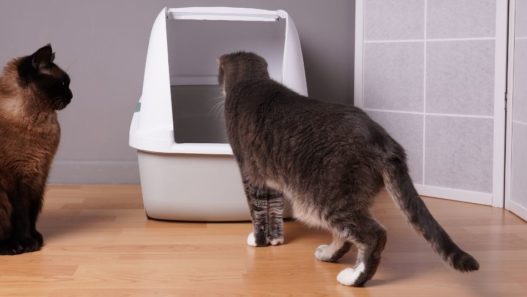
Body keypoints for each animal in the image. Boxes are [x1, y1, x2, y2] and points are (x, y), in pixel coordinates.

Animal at [0, 44, 72, 254]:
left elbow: (32, 214)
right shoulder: (20, 177)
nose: (72, 96)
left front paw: (36, 238)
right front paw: (28, 244)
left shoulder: (39, 176)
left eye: (68, 83)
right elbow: (22, 216)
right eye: (63, 83)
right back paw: (12, 246)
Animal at [217, 52, 480, 286]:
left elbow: (258, 211)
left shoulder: (250, 174)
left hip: (326, 197)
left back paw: (354, 278)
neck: (251, 80)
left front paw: (258, 240)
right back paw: (328, 255)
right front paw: (276, 240)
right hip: (346, 198)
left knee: (373, 235)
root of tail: (384, 141)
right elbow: (273, 209)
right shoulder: (270, 179)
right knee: (344, 235)